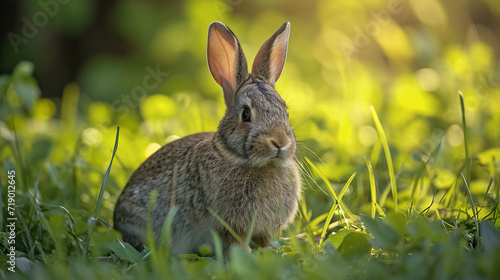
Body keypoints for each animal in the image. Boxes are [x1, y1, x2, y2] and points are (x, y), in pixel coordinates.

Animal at [113, 20, 300, 255]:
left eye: (285, 112)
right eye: (246, 114)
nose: (280, 142)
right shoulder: (227, 225)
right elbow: (236, 244)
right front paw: (249, 255)